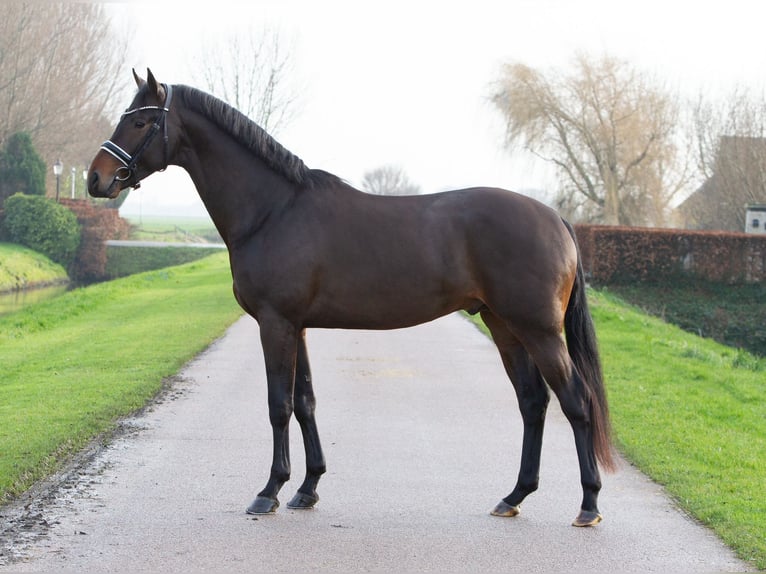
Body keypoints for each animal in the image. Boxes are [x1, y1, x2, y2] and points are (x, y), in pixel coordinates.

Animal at [88, 69, 615, 527]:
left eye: (140, 121)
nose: (96, 178)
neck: (274, 210)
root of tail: (555, 217)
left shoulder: (275, 324)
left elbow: (278, 404)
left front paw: (269, 491)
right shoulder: (294, 325)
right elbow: (305, 402)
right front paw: (307, 488)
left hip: (538, 330)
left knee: (575, 401)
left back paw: (588, 504)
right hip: (504, 326)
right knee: (533, 402)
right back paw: (514, 496)